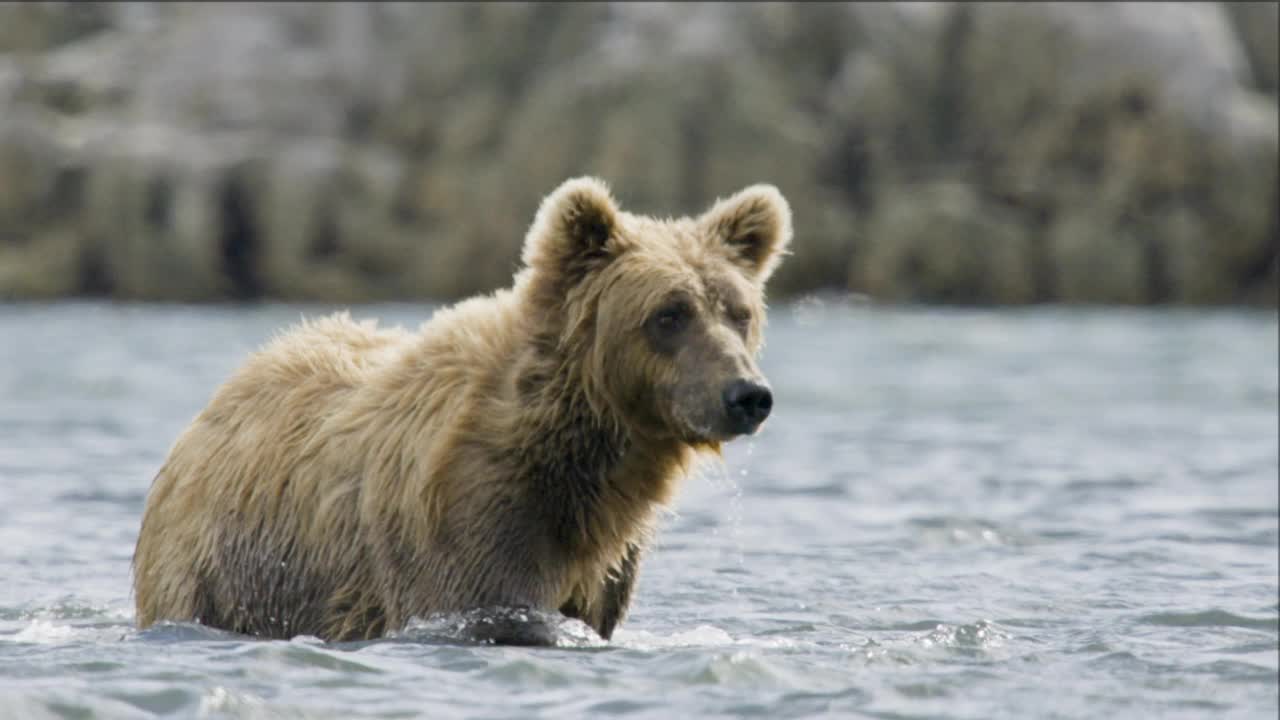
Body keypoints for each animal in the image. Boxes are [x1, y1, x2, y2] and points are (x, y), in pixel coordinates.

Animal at [129, 176, 788, 640]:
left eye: (738, 311)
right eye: (669, 313)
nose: (746, 395)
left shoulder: (602, 564)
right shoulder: (470, 530)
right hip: (219, 569)